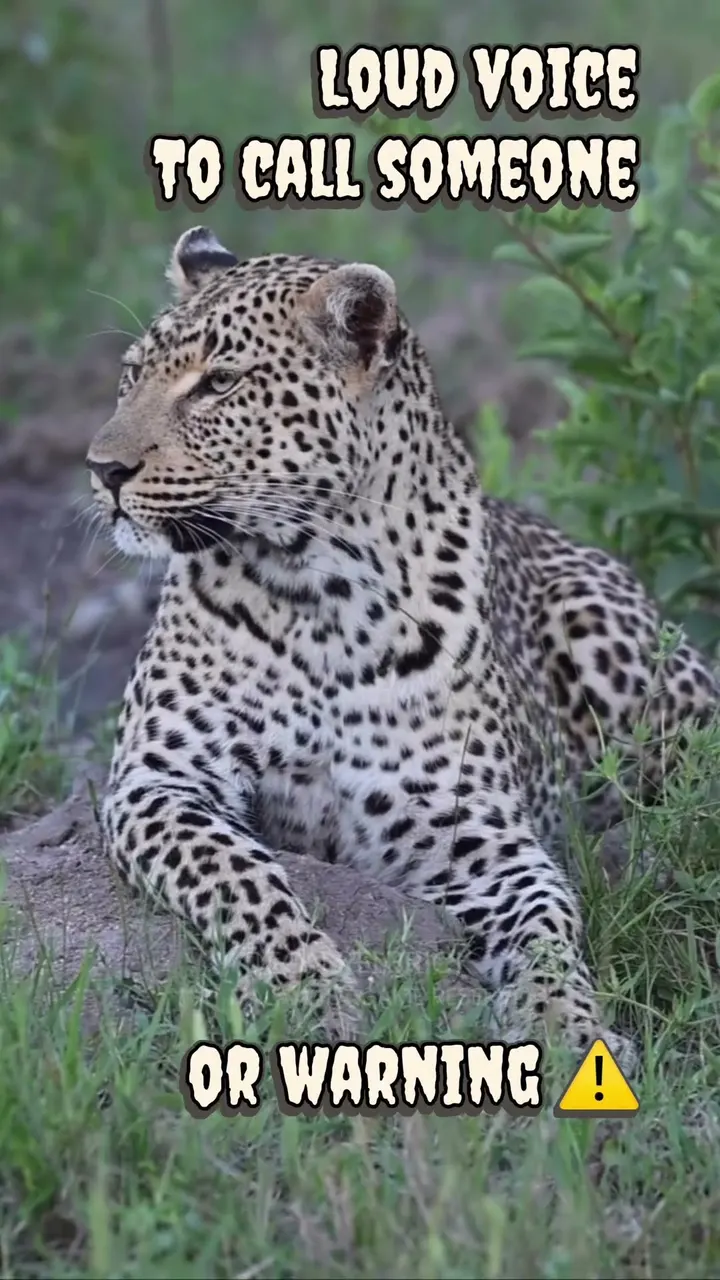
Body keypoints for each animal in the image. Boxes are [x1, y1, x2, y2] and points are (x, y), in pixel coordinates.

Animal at [86, 225, 719, 1073]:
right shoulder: (160, 781)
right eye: (131, 378)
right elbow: (239, 873)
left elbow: (549, 926)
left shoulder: (474, 833)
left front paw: (569, 1027)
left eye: (219, 384)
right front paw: (308, 990)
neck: (317, 587)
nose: (103, 469)